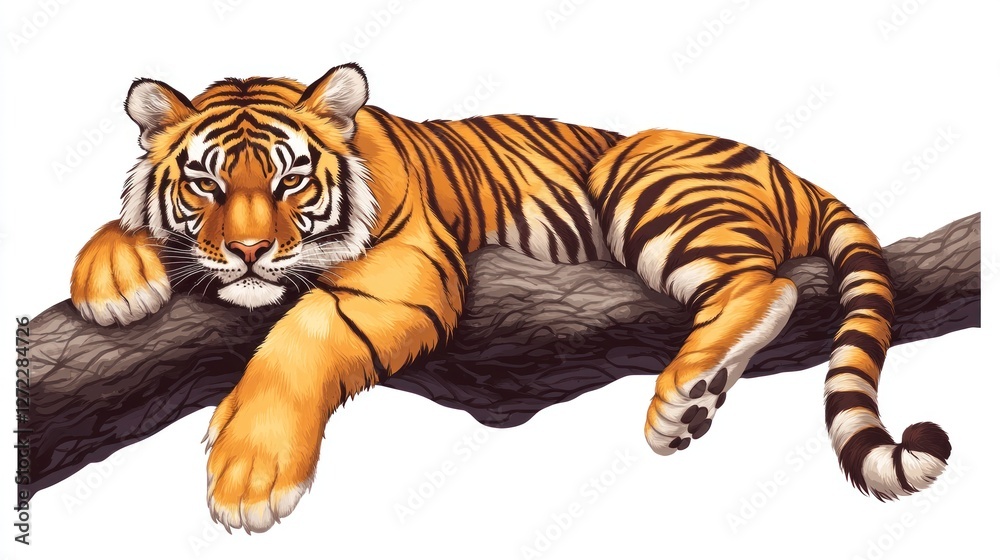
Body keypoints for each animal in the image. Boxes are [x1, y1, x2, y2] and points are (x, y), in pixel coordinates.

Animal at [70, 63, 952, 533]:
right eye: (207, 184)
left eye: (290, 182)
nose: (249, 251)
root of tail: (790, 169)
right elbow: (121, 225)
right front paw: (115, 277)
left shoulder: (413, 264)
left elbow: (310, 329)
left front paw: (251, 474)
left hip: (646, 175)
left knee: (763, 283)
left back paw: (682, 394)